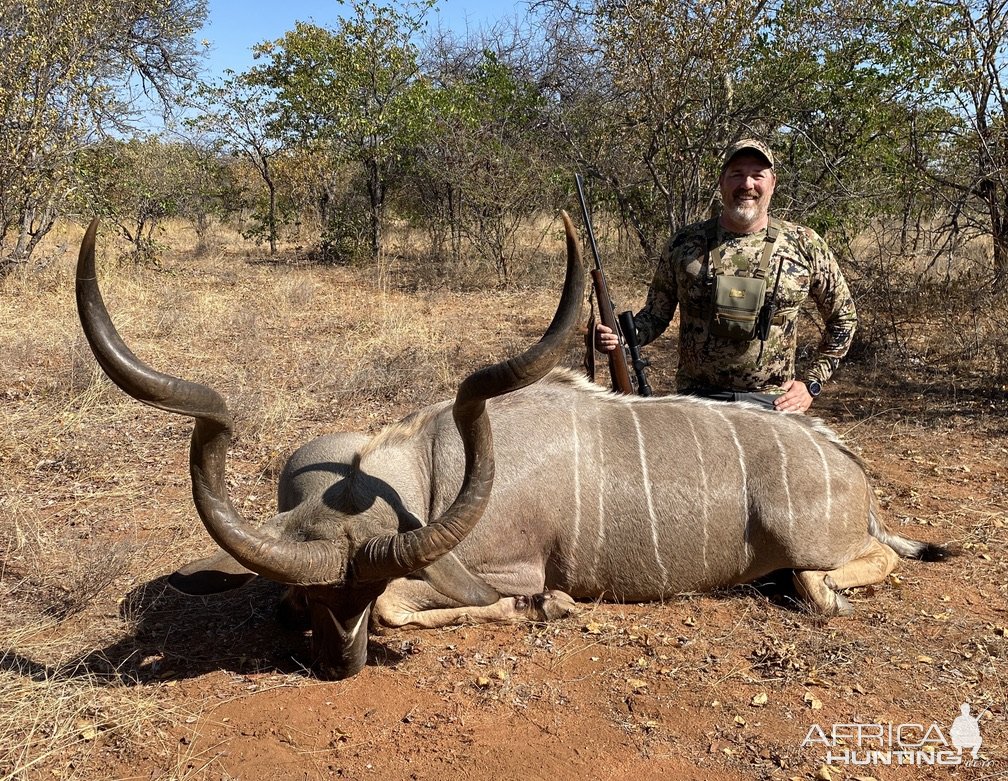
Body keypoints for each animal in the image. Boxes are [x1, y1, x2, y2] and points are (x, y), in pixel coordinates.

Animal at [74, 213, 947, 677]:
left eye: (342, 601)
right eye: (312, 600)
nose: (339, 664)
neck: (427, 468)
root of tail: (850, 470)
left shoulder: (497, 566)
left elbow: (404, 602)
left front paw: (545, 605)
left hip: (814, 543)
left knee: (856, 566)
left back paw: (823, 588)